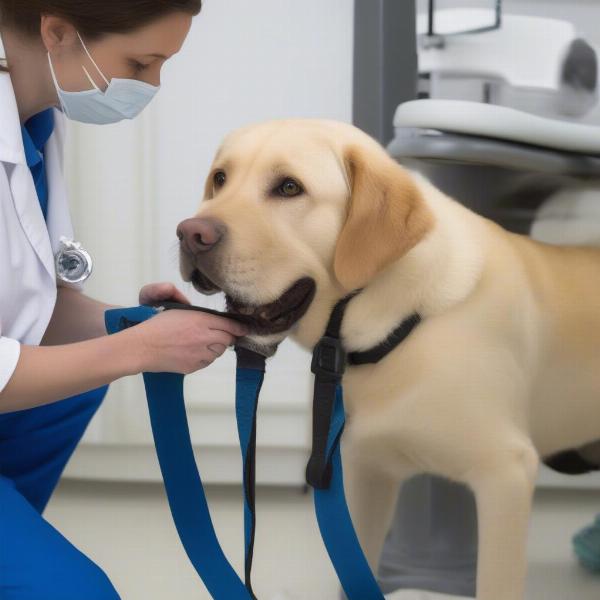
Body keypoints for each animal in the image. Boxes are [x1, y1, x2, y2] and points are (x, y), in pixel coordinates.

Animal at [176, 119, 596, 596]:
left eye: (289, 187)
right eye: (220, 179)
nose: (190, 234)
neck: (400, 326)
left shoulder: (505, 475)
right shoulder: (366, 474)